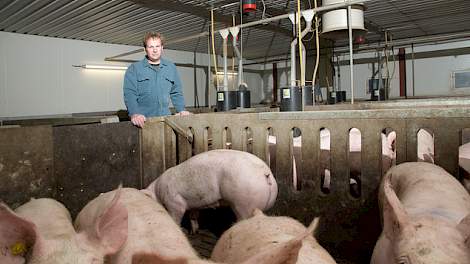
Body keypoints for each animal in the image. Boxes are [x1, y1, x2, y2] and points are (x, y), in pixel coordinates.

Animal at [143, 150, 276, 232]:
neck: (158, 191)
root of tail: (265, 173)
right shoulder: (193, 203)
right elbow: (193, 215)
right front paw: (194, 232)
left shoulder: (174, 202)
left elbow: (176, 217)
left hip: (243, 202)